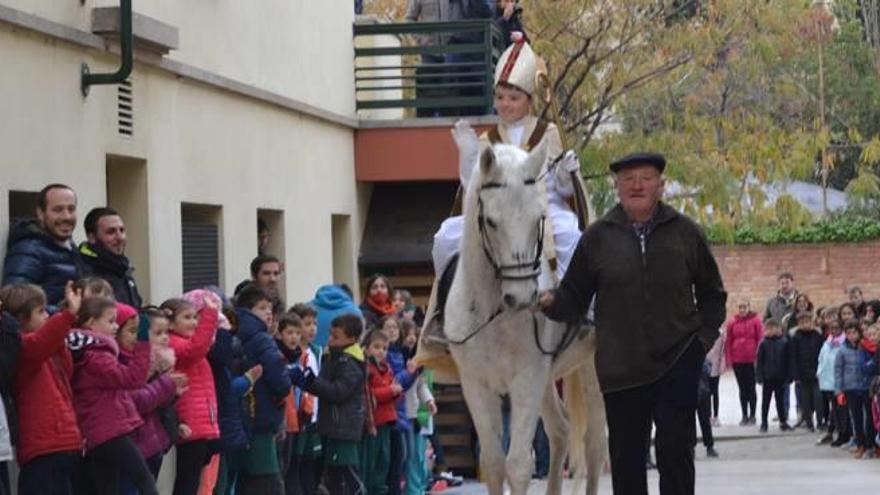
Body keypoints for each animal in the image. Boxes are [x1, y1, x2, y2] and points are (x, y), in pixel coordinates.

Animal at [446, 139, 604, 495]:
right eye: (491, 221)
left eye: (539, 218)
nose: (522, 298)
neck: (493, 314)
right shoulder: (476, 384)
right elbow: (493, 464)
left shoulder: (526, 380)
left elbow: (518, 466)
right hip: (547, 381)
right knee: (561, 431)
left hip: (590, 369)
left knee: (594, 442)